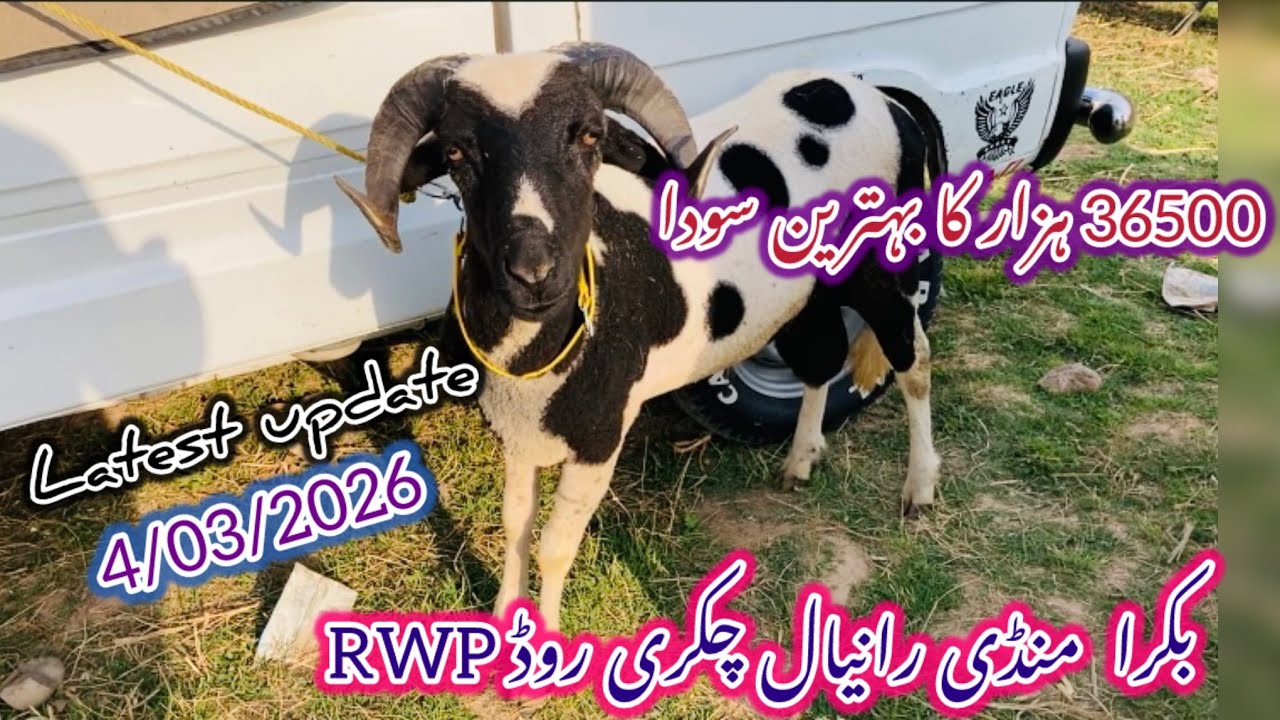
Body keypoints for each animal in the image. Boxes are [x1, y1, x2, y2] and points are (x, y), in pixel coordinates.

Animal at [335, 43, 940, 631]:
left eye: (589, 135)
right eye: (458, 153)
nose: (534, 272)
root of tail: (880, 98)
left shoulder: (600, 439)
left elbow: (555, 546)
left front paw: (547, 645)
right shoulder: (516, 430)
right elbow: (515, 526)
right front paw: (507, 619)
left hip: (881, 269)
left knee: (913, 360)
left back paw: (919, 490)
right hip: (808, 295)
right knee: (822, 358)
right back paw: (801, 460)